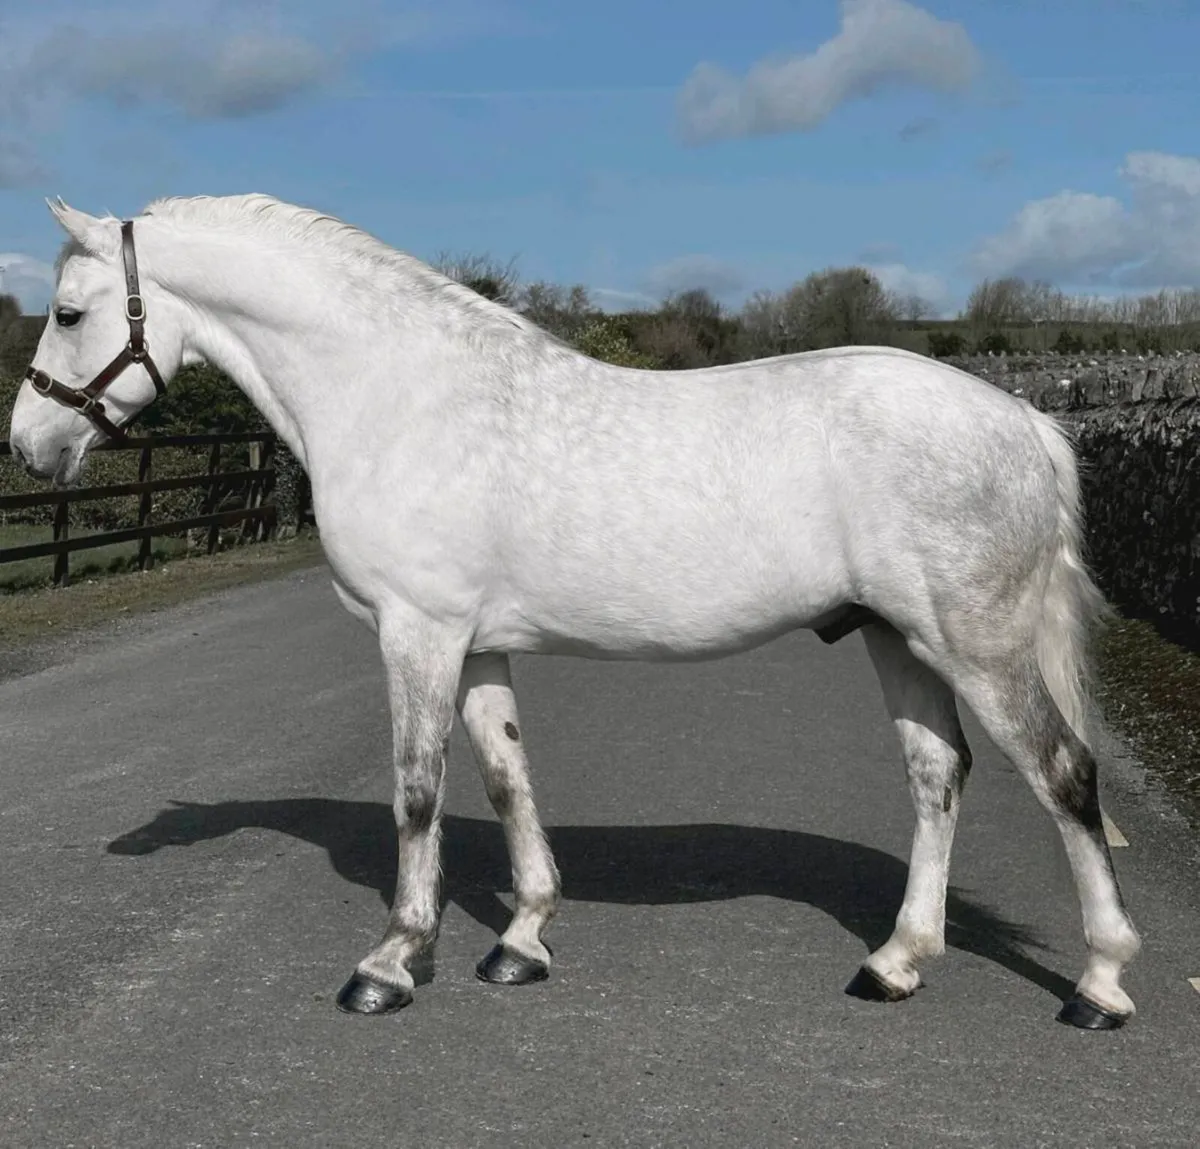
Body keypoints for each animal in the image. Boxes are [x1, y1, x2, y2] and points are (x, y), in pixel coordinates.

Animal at [6, 194, 1140, 1030]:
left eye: (66, 313)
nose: (29, 446)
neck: (394, 394)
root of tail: (1024, 419)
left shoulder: (417, 633)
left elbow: (416, 792)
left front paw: (391, 961)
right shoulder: (474, 647)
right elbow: (509, 779)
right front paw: (521, 942)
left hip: (976, 643)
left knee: (1064, 775)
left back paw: (1100, 985)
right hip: (897, 637)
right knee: (937, 776)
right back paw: (896, 962)